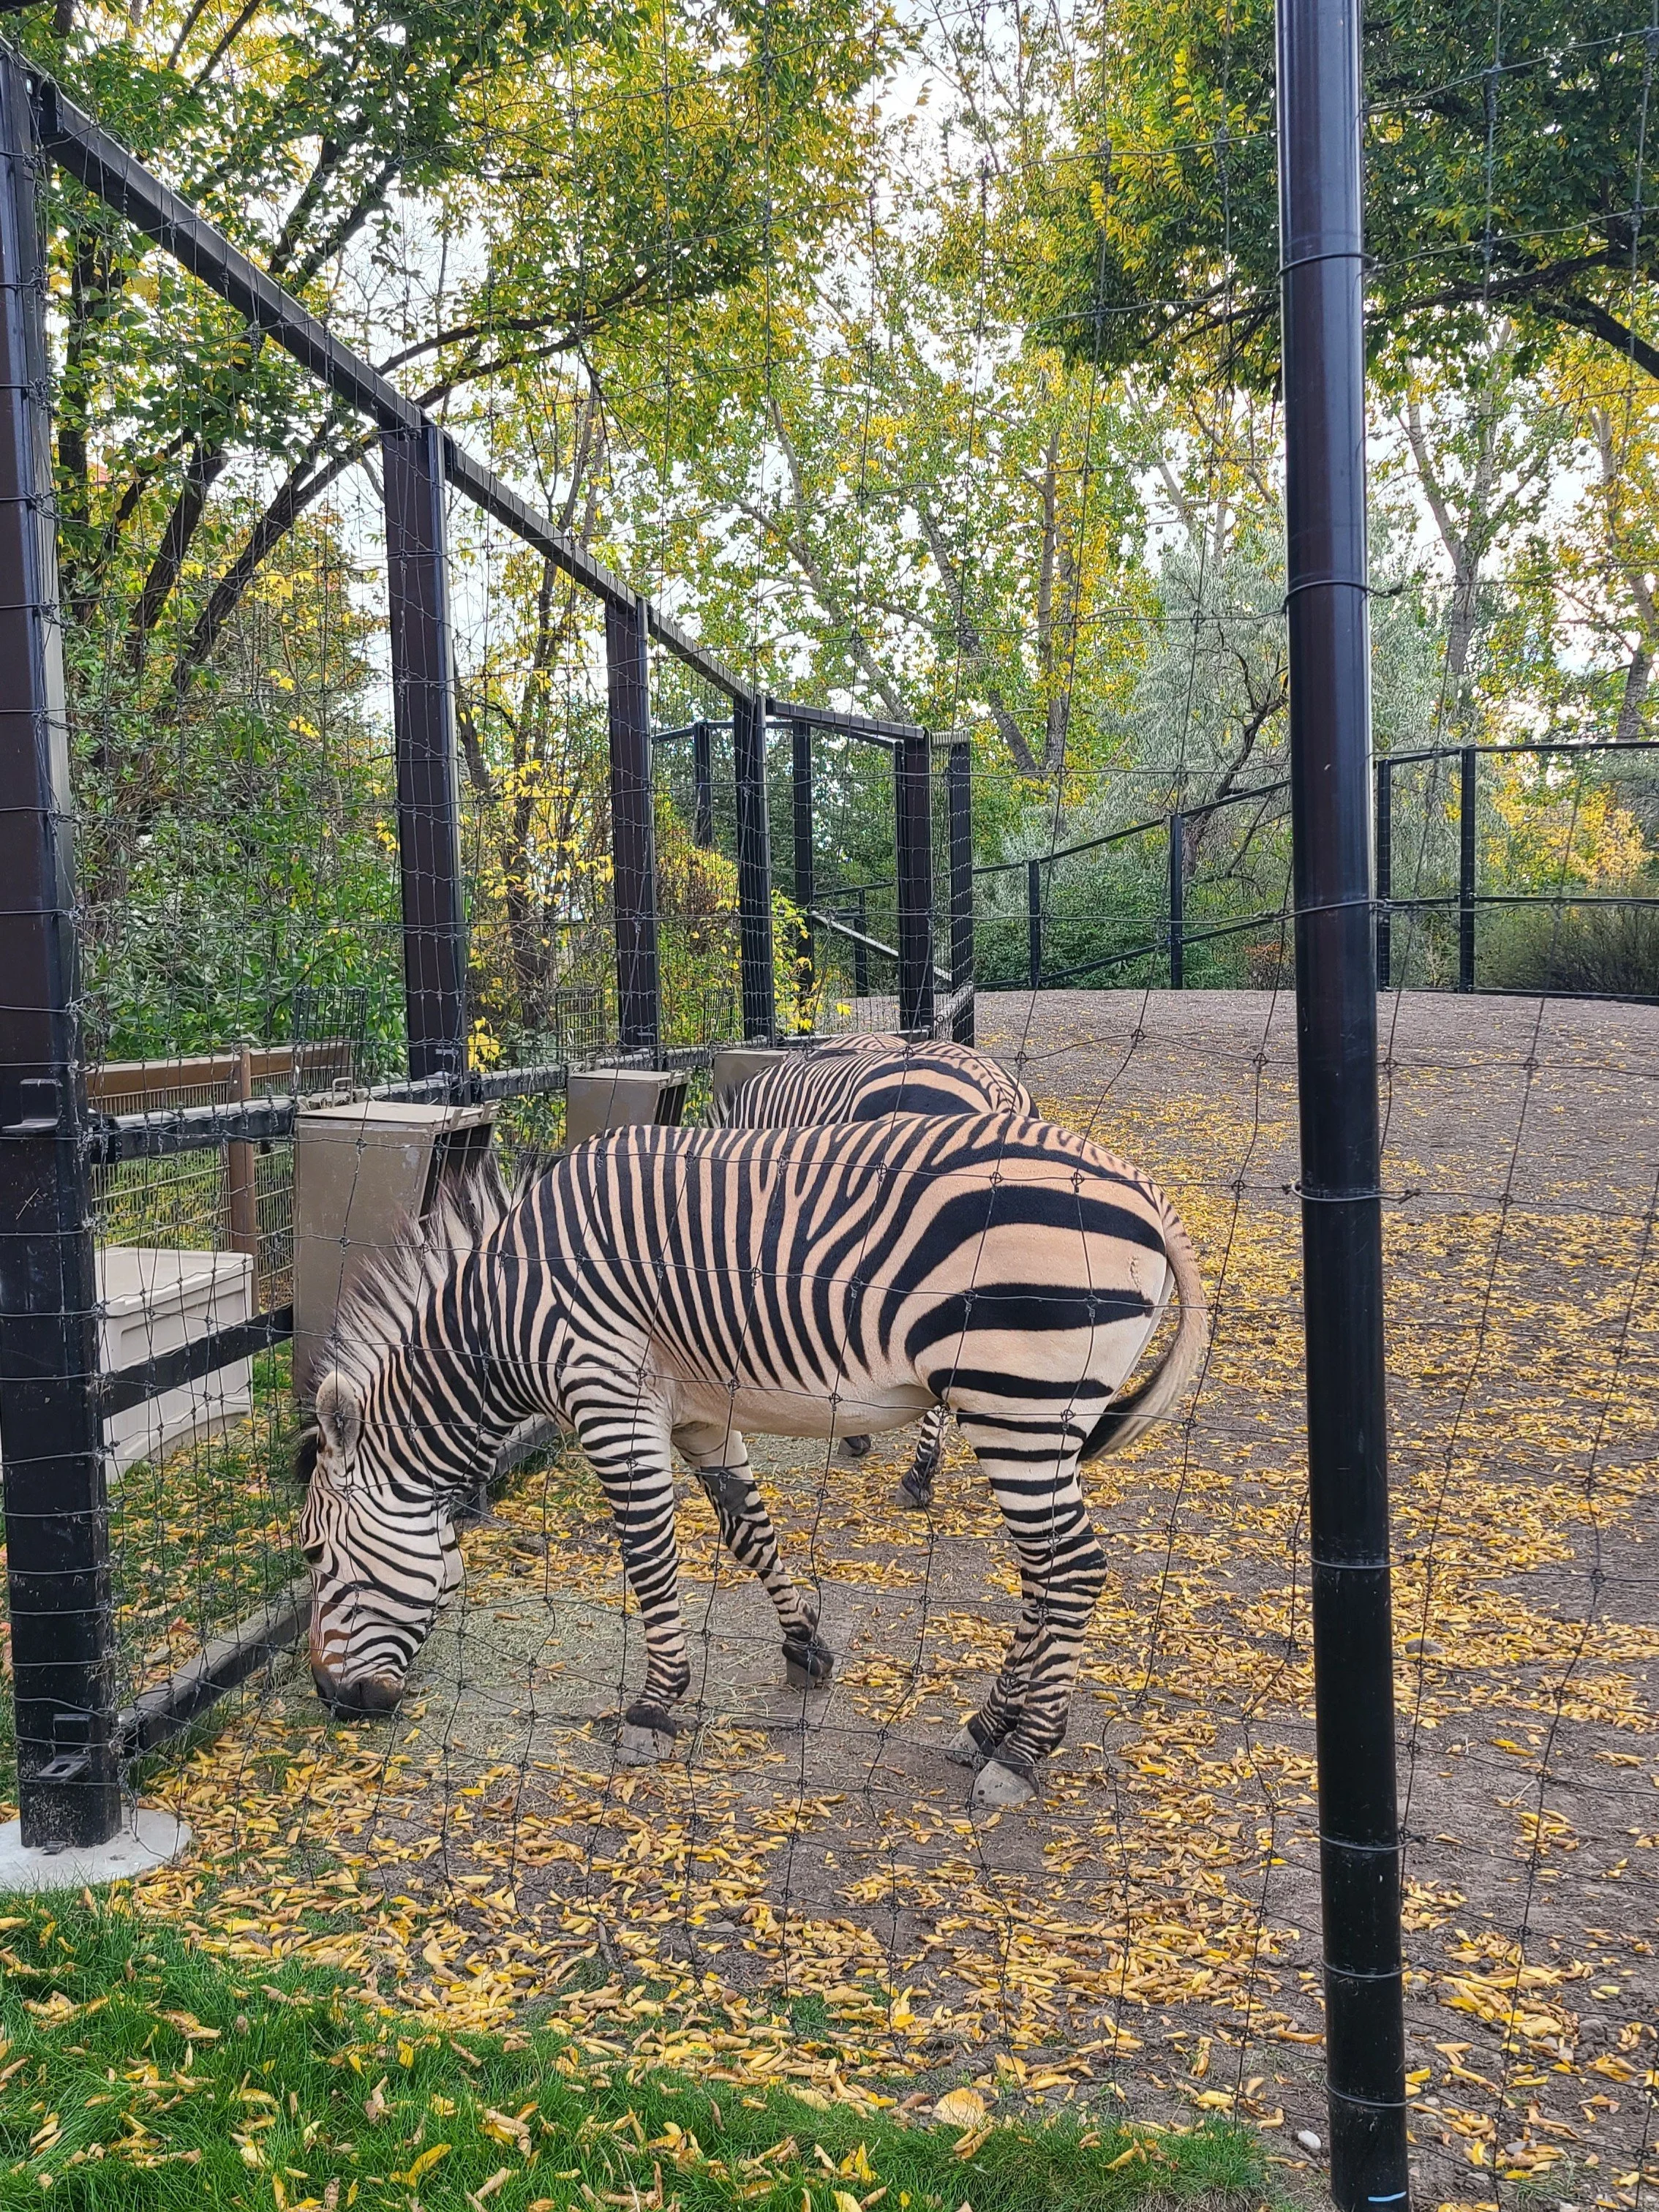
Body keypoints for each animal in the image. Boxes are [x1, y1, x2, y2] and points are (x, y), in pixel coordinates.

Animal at [299, 1111, 1207, 1808]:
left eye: (313, 1557)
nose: (331, 1701)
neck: (505, 1308)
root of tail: (1144, 1191)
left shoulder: (611, 1399)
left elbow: (649, 1559)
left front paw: (654, 1709)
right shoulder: (701, 1414)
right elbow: (748, 1531)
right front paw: (805, 1648)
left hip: (1016, 1400)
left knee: (1074, 1569)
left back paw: (1022, 1753)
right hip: (1029, 1414)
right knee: (1045, 1570)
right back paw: (988, 1726)